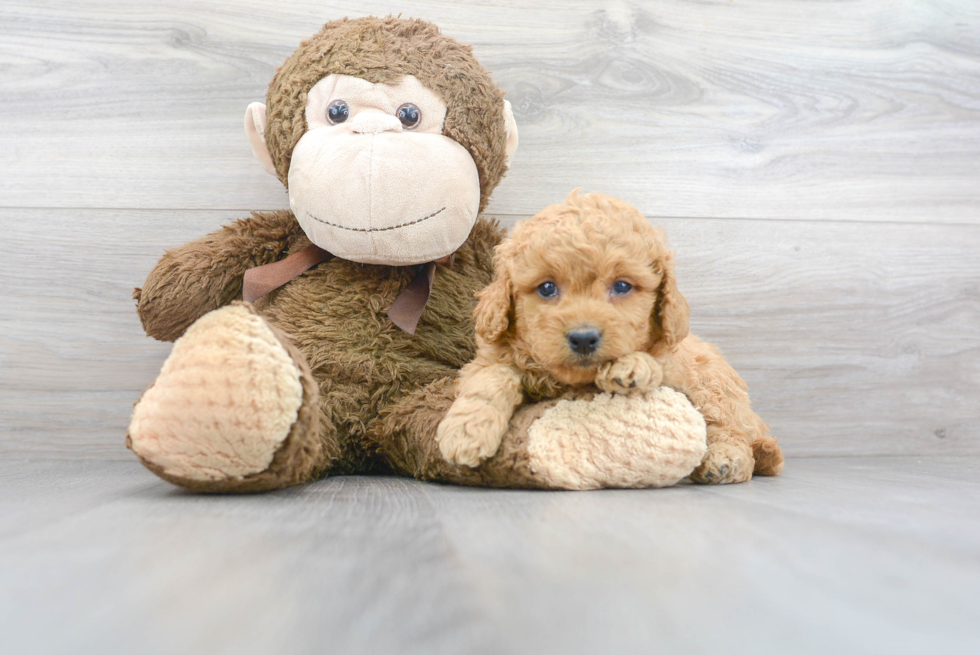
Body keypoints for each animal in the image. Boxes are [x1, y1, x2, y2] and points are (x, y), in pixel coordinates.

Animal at [434, 192, 780, 484]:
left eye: (622, 286)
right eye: (547, 288)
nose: (583, 338)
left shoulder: (675, 368)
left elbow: (656, 364)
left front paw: (630, 367)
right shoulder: (488, 359)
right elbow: (492, 379)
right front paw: (466, 432)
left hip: (714, 388)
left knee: (732, 432)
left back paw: (725, 461)